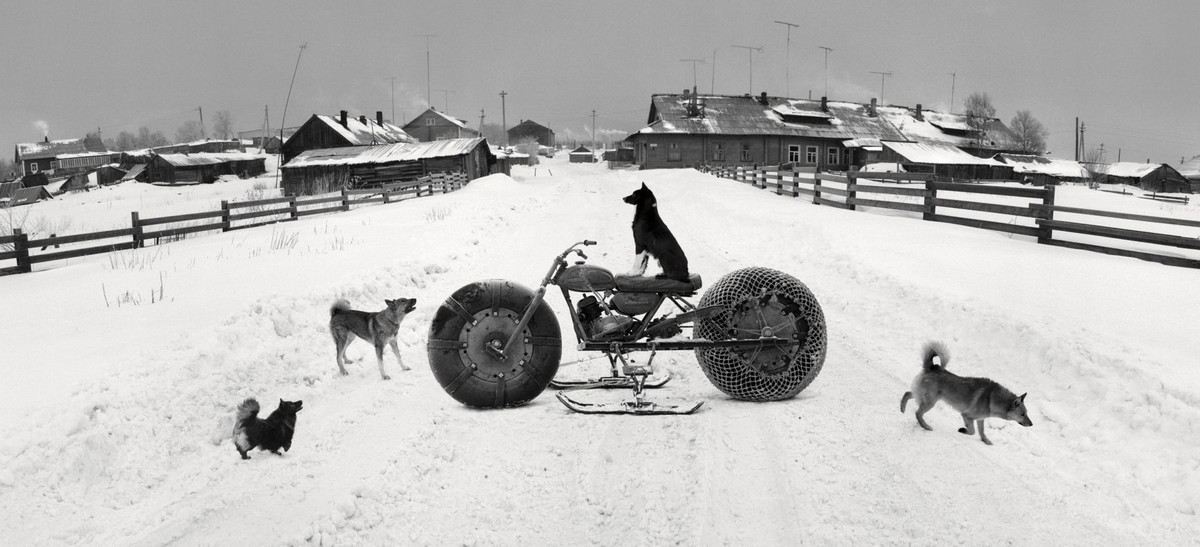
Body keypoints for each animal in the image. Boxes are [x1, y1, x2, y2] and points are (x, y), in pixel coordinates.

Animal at [902, 340, 1032, 443]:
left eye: (1026, 413)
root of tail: (932, 367)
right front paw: (963, 430)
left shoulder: (980, 419)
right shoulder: (967, 416)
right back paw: (925, 426)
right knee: (918, 413)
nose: (1032, 424)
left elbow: (982, 432)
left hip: (923, 396)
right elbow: (972, 431)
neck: (991, 399)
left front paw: (985, 440)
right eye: (1022, 414)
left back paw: (902, 408)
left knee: (907, 394)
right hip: (930, 401)